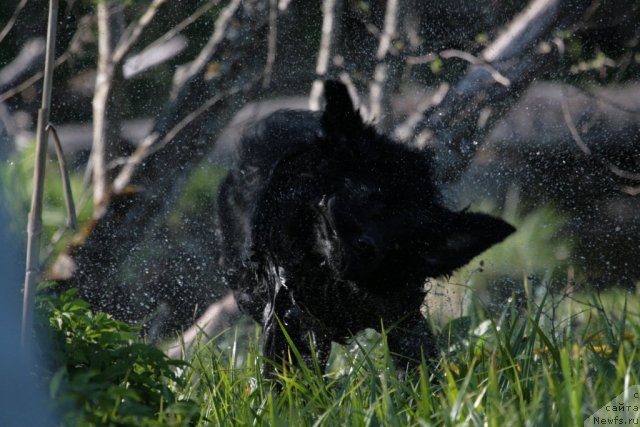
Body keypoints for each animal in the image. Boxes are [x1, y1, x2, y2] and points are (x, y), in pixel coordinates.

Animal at [218, 81, 512, 374]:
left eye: (408, 233)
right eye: (372, 197)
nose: (368, 248)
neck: (335, 284)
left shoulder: (401, 316)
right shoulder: (287, 311)